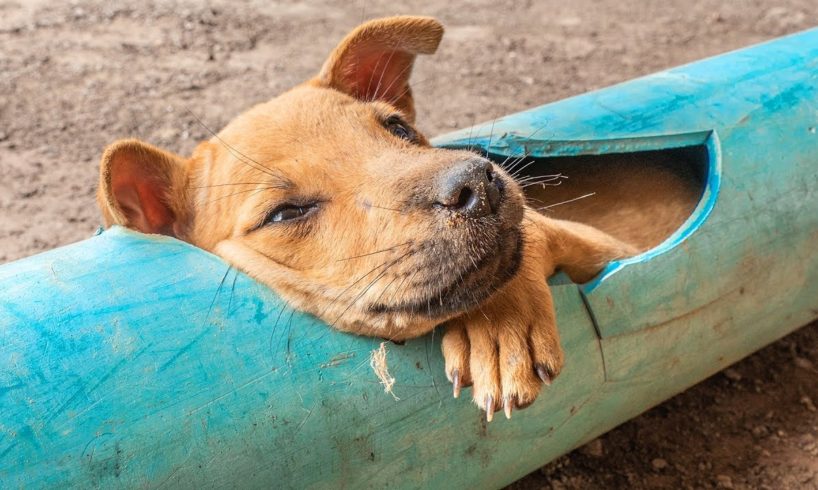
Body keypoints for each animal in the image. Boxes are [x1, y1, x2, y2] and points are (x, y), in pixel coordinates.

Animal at [95, 16, 632, 422]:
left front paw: (504, 319)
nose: (478, 186)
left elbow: (530, 235)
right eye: (286, 213)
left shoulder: (608, 244)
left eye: (398, 127)